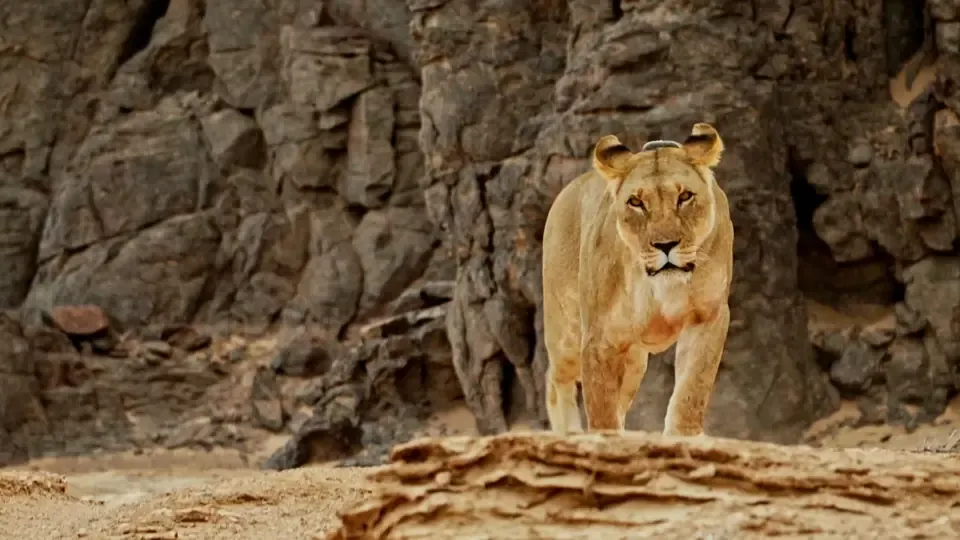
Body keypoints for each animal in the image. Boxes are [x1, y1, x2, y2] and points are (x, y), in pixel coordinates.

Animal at [541, 122, 733, 436]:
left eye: (685, 197)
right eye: (636, 202)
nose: (666, 245)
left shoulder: (708, 315)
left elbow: (693, 387)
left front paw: (684, 435)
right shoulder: (599, 337)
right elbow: (601, 408)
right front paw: (604, 439)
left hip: (634, 360)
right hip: (566, 333)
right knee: (555, 380)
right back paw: (568, 433)